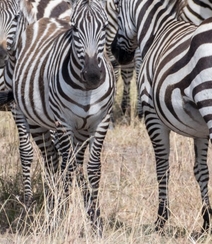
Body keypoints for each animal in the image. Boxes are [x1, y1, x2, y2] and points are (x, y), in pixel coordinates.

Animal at [112, 0, 212, 234]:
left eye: (118, 7)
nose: (115, 53)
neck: (157, 31)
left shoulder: (152, 116)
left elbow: (162, 168)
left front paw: (161, 219)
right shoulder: (200, 131)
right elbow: (201, 171)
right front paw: (206, 222)